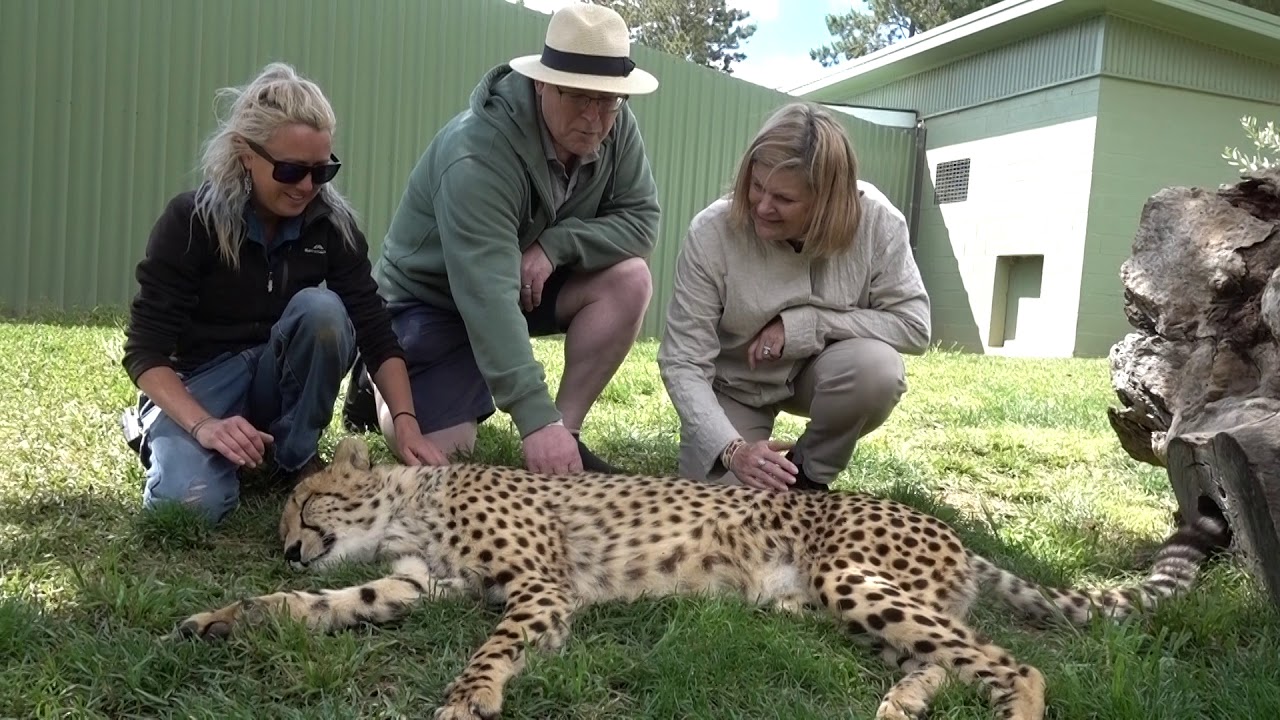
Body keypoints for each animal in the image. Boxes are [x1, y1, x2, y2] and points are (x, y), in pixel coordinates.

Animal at [175, 436, 1231, 720]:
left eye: (304, 505)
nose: (288, 544)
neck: (410, 498)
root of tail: (955, 534)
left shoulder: (543, 590)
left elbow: (492, 648)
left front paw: (469, 699)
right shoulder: (411, 587)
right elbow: (319, 607)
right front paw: (227, 615)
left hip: (854, 579)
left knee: (1012, 663)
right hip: (849, 606)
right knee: (942, 655)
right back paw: (899, 705)